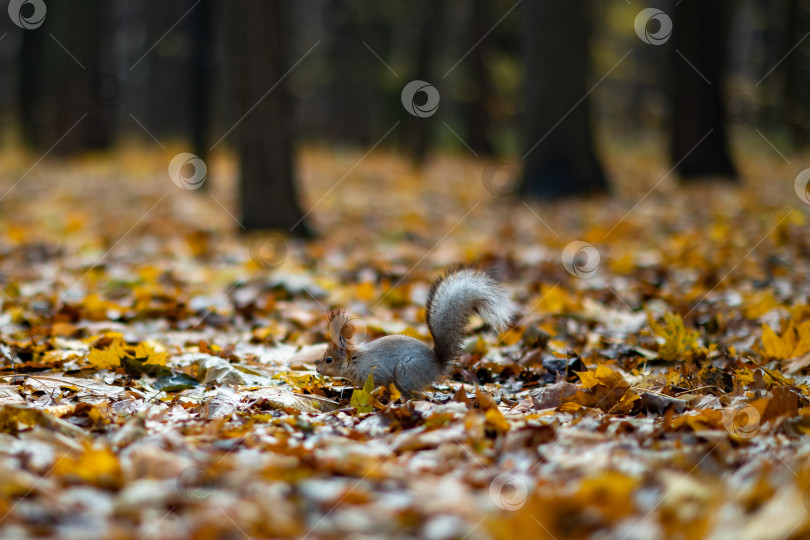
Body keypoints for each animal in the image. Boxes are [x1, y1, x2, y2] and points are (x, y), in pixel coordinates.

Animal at [312, 266, 516, 396]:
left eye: (329, 360)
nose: (317, 369)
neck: (355, 360)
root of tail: (437, 365)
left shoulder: (375, 373)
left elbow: (377, 385)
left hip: (406, 372)